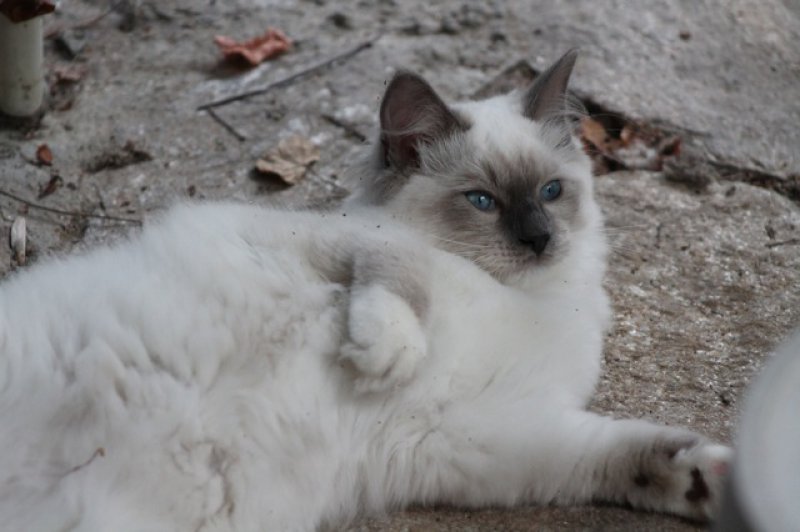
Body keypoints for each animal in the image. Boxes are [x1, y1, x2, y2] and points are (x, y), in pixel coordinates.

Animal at [0, 51, 728, 532]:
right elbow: (402, 271)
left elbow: (620, 453)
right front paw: (386, 355)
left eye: (551, 192)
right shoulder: (334, 243)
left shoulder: (491, 434)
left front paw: (711, 483)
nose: (540, 240)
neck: (533, 301)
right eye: (483, 202)